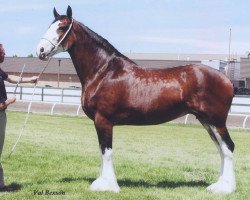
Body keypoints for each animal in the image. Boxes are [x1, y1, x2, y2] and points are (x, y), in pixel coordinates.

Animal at [36, 5, 235, 194]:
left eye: (61, 27)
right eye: (50, 25)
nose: (40, 50)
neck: (103, 71)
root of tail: (227, 79)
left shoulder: (103, 120)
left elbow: (106, 152)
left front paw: (108, 185)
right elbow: (101, 150)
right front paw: (102, 182)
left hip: (216, 121)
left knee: (228, 147)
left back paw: (225, 188)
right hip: (206, 121)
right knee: (221, 149)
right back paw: (219, 185)